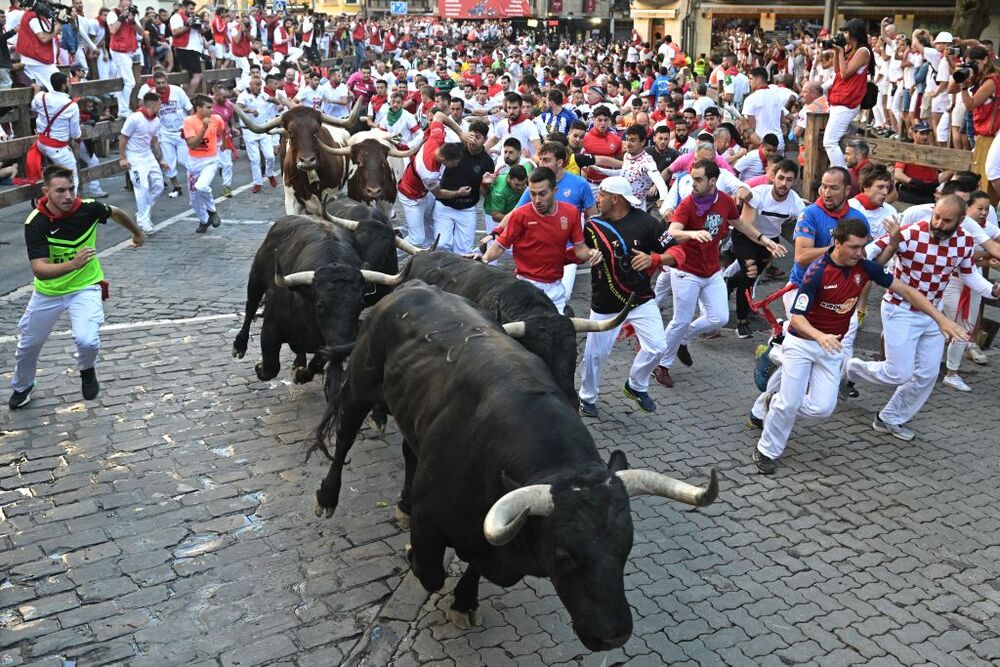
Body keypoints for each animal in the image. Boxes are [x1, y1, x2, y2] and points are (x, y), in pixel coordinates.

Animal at [308, 286, 716, 652]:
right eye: (564, 556)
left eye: (626, 547)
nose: (613, 637)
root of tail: (409, 289)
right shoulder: (432, 523)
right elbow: (431, 573)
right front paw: (417, 559)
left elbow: (474, 564)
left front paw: (464, 601)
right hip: (360, 385)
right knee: (343, 438)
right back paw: (327, 498)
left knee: (409, 450)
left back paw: (402, 505)